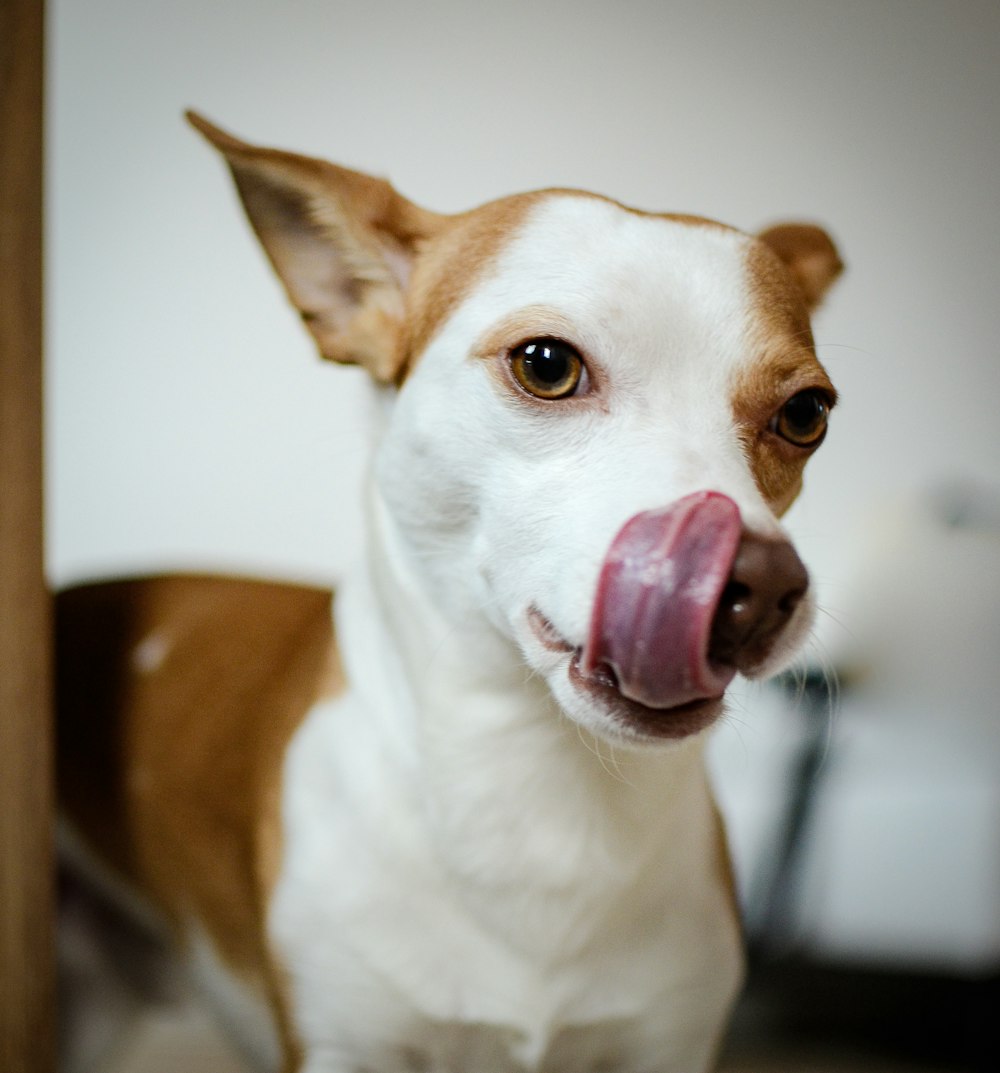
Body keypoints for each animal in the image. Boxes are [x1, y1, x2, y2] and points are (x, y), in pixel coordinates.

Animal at [58, 113, 841, 1068]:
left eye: (806, 414)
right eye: (546, 364)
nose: (762, 582)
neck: (539, 788)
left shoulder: (670, 1043)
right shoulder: (341, 1044)